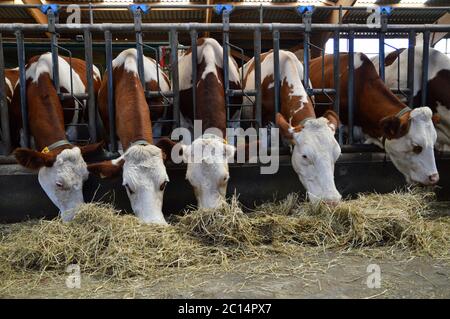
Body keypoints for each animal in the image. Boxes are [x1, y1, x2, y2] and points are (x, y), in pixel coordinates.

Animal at [9, 53, 102, 222]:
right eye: (59, 184)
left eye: (85, 179)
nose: (75, 216)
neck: (39, 76)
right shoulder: (21, 131)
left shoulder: (72, 128)